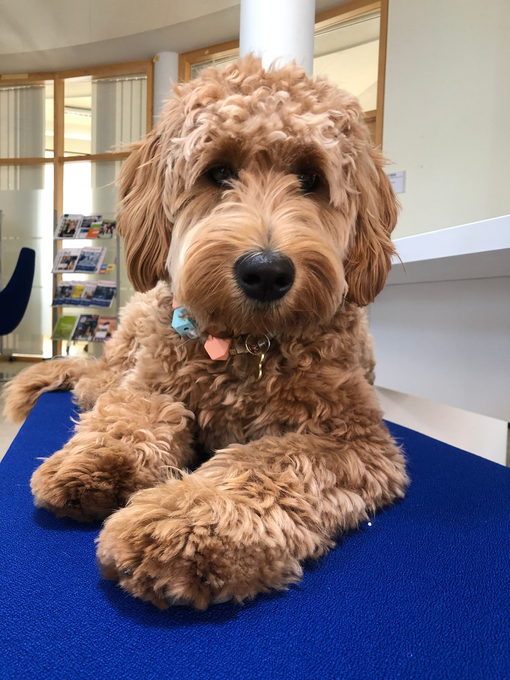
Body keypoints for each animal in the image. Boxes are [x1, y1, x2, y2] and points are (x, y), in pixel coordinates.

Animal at [3, 57, 408, 612]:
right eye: (219, 172)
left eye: (310, 178)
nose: (266, 271)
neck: (248, 341)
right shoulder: (153, 383)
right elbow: (132, 414)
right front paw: (101, 461)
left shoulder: (354, 439)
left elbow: (268, 463)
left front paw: (189, 524)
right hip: (136, 329)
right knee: (100, 379)